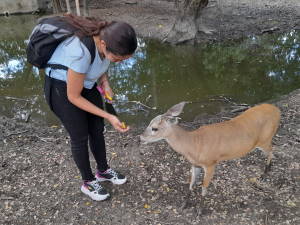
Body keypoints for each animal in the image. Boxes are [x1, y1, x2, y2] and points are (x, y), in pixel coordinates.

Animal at [139, 102, 280, 195]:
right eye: (149, 123)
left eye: (154, 128)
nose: (141, 137)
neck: (194, 143)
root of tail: (277, 110)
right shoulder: (195, 163)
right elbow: (192, 180)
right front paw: (190, 193)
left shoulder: (211, 163)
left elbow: (204, 185)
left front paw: (202, 200)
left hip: (265, 138)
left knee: (272, 149)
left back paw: (266, 171)